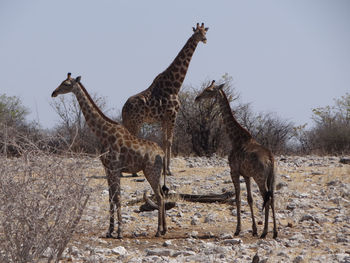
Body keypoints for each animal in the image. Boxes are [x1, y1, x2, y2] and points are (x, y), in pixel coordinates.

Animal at [51, 72, 167, 239]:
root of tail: (163, 154)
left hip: (151, 171)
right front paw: (110, 231)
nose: (53, 93)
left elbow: (117, 197)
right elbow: (111, 197)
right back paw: (164, 229)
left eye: (66, 84)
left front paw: (119, 232)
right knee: (162, 196)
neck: (103, 133)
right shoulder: (107, 169)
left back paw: (158, 230)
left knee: (159, 196)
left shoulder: (114, 168)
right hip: (154, 172)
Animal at [122, 23, 208, 179]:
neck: (175, 86)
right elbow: (169, 141)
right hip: (136, 122)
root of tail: (123, 108)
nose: (205, 39)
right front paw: (168, 170)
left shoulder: (164, 118)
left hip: (129, 122)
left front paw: (165, 169)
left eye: (205, 31)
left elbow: (164, 141)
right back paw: (132, 172)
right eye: (197, 33)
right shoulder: (172, 115)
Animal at [196, 80, 278, 239]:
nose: (197, 98)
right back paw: (275, 232)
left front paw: (238, 229)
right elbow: (249, 199)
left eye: (209, 90)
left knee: (266, 198)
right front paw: (253, 229)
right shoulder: (246, 175)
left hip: (260, 178)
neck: (235, 139)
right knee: (272, 198)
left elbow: (238, 199)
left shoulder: (233, 171)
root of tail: (270, 159)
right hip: (272, 177)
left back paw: (265, 232)